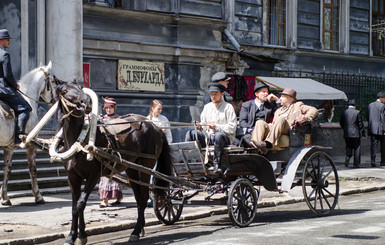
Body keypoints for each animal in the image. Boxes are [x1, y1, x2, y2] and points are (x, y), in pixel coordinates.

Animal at [0, 61, 55, 205]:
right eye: (53, 80)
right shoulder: (31, 144)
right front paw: (38, 195)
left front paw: (5, 197)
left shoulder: (9, 147)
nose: (54, 100)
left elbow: (7, 169)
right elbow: (33, 169)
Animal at [54, 79, 172, 244]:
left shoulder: (93, 176)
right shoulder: (72, 178)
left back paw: (136, 231)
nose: (87, 102)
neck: (79, 142)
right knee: (138, 198)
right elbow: (74, 207)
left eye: (80, 88)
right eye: (64, 91)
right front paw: (72, 236)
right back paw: (139, 229)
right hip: (131, 169)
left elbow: (81, 203)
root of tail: (155, 126)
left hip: (146, 166)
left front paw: (82, 236)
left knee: (143, 197)